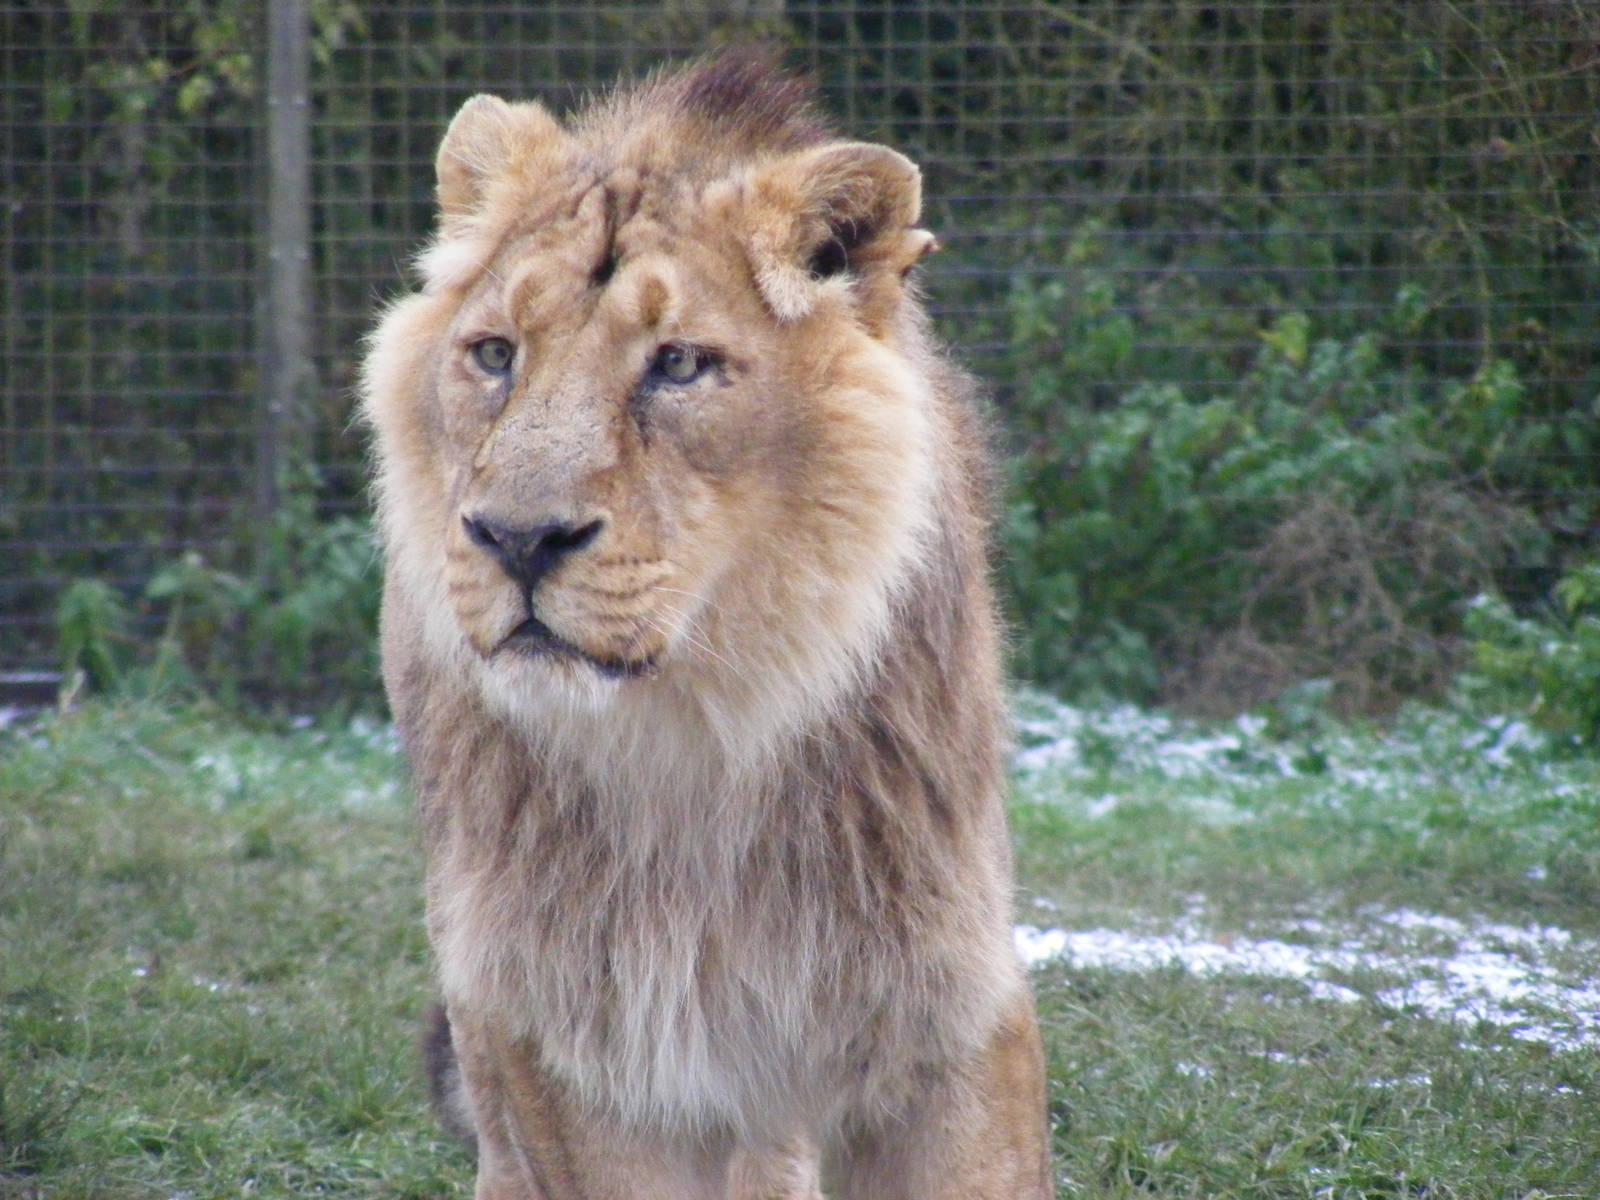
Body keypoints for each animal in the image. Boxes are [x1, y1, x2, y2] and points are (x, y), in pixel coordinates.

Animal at [360, 50, 1051, 1199]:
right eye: (494, 354)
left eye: (678, 364)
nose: (517, 538)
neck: (700, 736)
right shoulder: (581, 1034)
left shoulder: (947, 998)